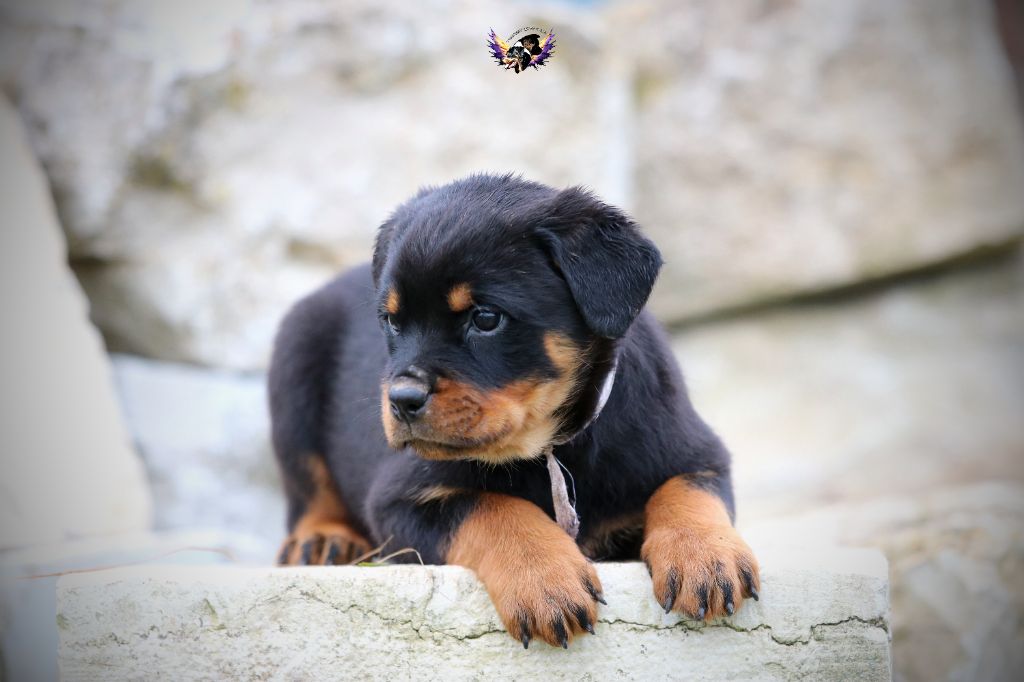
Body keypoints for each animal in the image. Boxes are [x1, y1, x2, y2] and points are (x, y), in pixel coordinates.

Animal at [270, 174, 760, 649]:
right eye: (391, 321)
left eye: (486, 318)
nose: (402, 400)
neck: (553, 446)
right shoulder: (399, 499)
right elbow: (492, 508)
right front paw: (545, 581)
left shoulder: (695, 450)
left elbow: (687, 490)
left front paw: (706, 557)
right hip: (294, 367)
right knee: (307, 487)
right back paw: (324, 538)